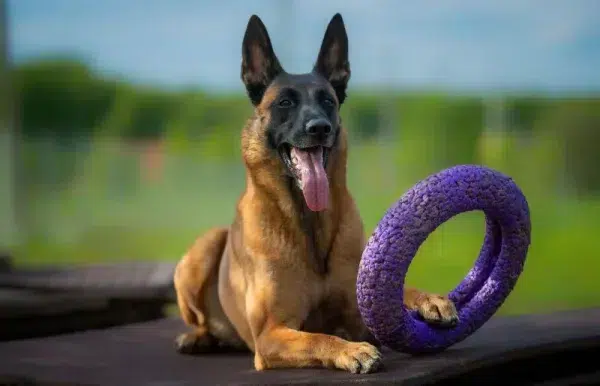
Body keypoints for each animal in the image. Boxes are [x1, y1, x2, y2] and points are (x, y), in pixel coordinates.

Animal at [173, 12, 460, 374]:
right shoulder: (271, 334)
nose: (319, 128)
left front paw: (428, 300)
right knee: (200, 320)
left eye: (327, 101)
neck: (309, 227)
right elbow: (318, 337)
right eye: (284, 102)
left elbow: (394, 296)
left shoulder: (357, 311)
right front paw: (352, 351)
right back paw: (195, 338)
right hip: (205, 248)